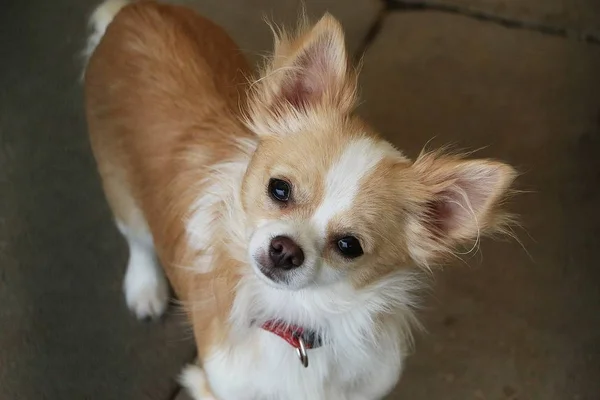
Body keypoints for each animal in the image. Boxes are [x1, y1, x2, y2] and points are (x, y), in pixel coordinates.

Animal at [83, 1, 516, 398]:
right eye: (279, 189)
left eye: (349, 245)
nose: (285, 249)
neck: (298, 321)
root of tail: (137, 9)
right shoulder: (218, 385)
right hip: (120, 188)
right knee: (138, 240)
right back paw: (144, 288)